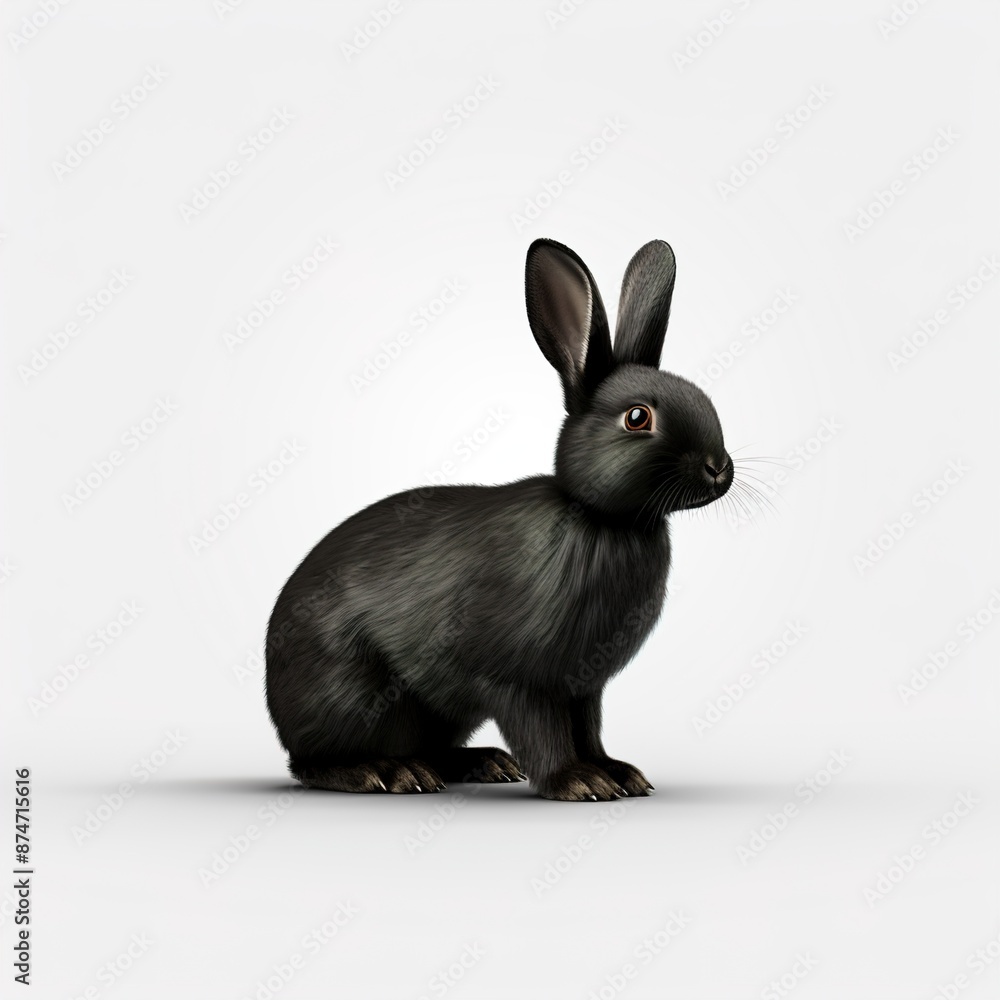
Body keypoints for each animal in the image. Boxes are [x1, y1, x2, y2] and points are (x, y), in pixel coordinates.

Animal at [265, 238, 734, 801]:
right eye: (638, 417)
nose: (719, 468)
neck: (601, 518)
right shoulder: (518, 683)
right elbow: (544, 733)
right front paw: (578, 783)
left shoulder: (584, 687)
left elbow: (589, 730)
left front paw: (618, 774)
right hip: (356, 692)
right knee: (316, 763)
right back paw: (388, 773)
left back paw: (484, 763)